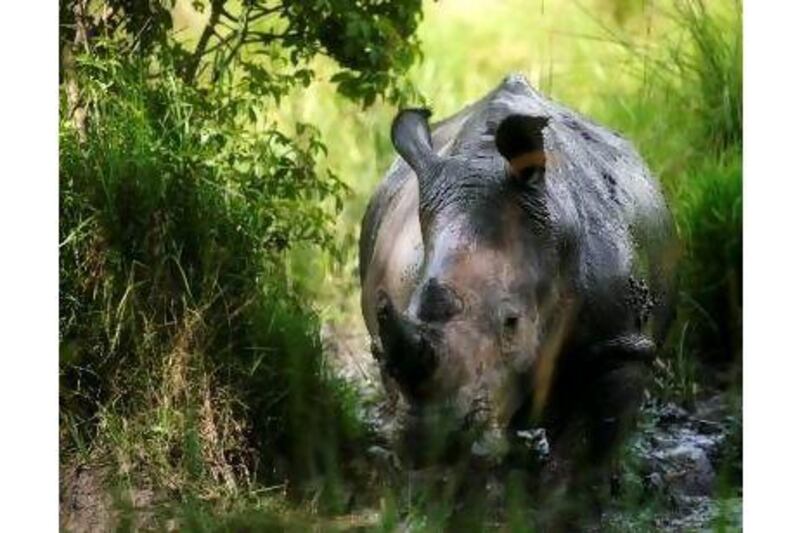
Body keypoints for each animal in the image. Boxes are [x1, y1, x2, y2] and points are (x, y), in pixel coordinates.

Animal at [360, 72, 680, 476]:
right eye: (407, 308)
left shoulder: (621, 342)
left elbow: (587, 454)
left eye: (512, 322)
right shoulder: (389, 345)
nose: (429, 440)